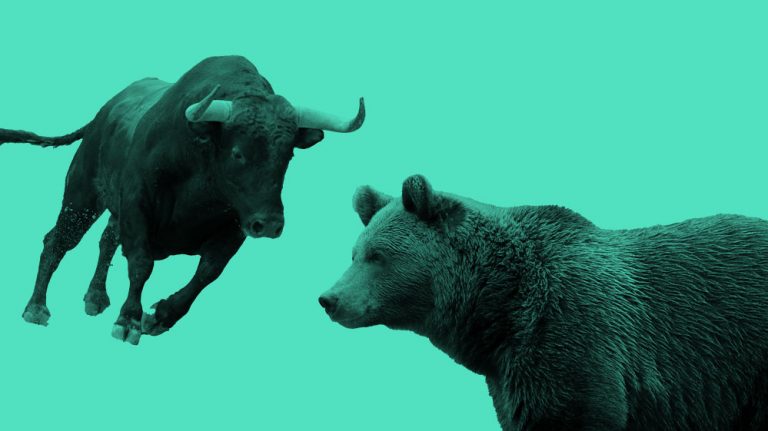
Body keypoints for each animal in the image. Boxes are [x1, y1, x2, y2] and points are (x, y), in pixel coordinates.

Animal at [0, 55, 365, 345]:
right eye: (238, 153)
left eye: (288, 155)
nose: (271, 224)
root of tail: (103, 113)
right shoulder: (137, 206)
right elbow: (141, 263)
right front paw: (128, 321)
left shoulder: (235, 226)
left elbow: (208, 272)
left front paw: (162, 315)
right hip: (82, 194)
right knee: (58, 240)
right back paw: (36, 307)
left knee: (106, 241)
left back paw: (96, 296)